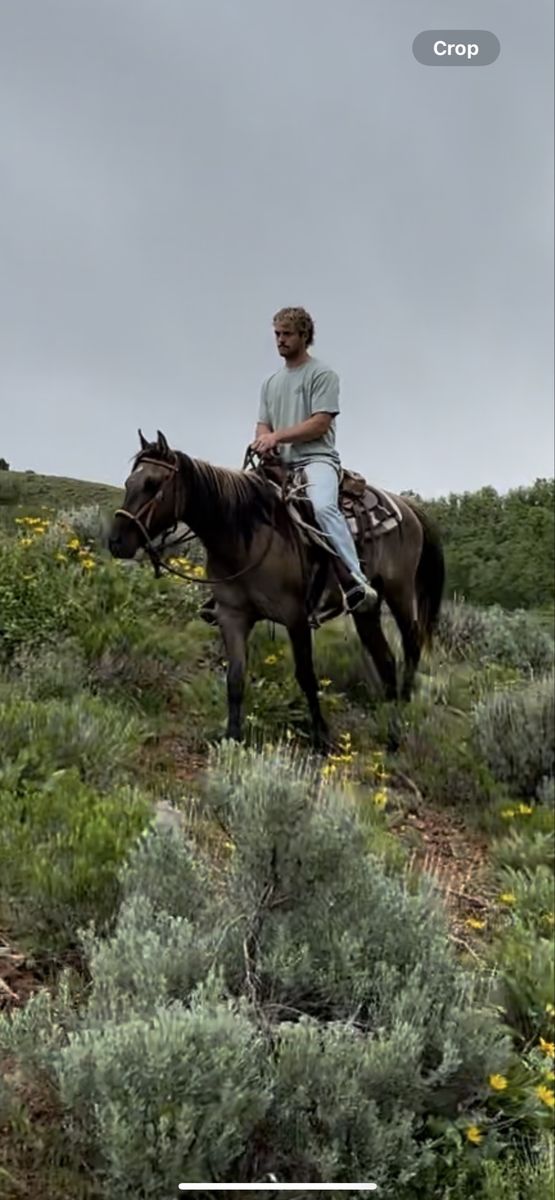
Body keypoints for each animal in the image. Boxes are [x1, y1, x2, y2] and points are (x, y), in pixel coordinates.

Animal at [108, 430, 445, 750]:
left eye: (152, 484)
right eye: (129, 482)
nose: (116, 541)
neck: (243, 536)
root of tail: (406, 506)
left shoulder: (295, 617)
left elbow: (306, 676)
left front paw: (322, 736)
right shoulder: (232, 616)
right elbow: (235, 678)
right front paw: (232, 737)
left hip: (400, 592)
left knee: (411, 645)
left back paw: (400, 719)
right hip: (368, 610)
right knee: (385, 661)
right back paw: (390, 725)